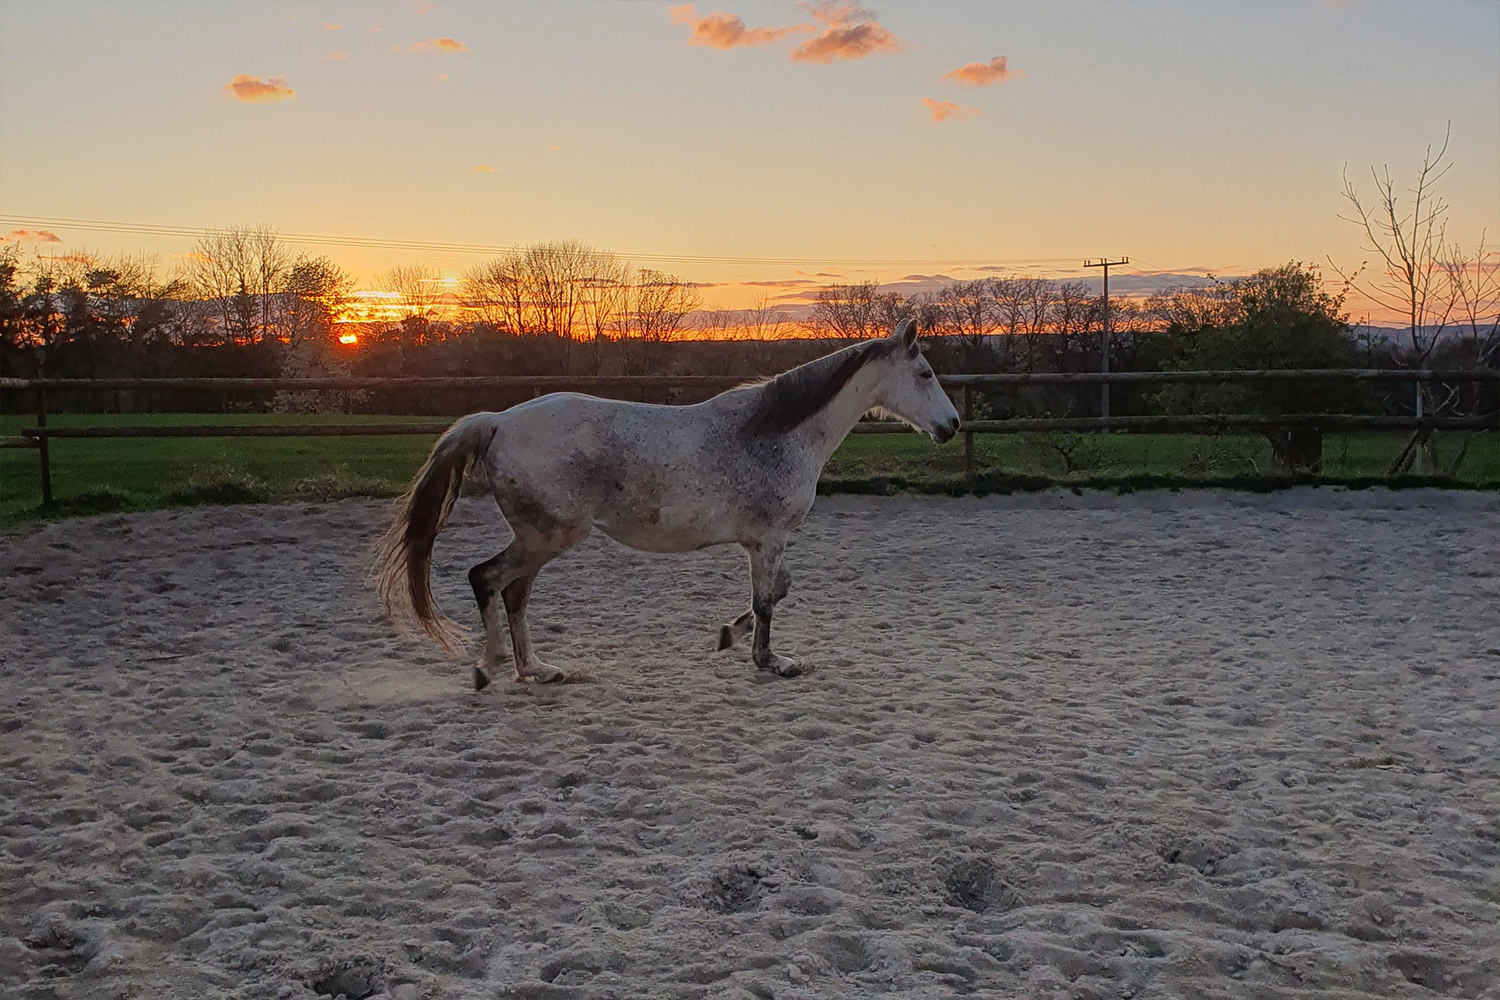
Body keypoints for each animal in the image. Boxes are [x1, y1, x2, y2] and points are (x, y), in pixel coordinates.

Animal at [375, 320, 960, 689]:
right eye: (926, 374)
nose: (952, 426)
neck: (777, 434)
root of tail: (497, 420)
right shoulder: (768, 538)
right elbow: (768, 601)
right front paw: (771, 660)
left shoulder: (761, 542)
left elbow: (778, 591)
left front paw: (729, 636)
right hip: (548, 537)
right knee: (487, 579)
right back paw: (492, 666)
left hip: (539, 540)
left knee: (513, 592)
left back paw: (536, 670)